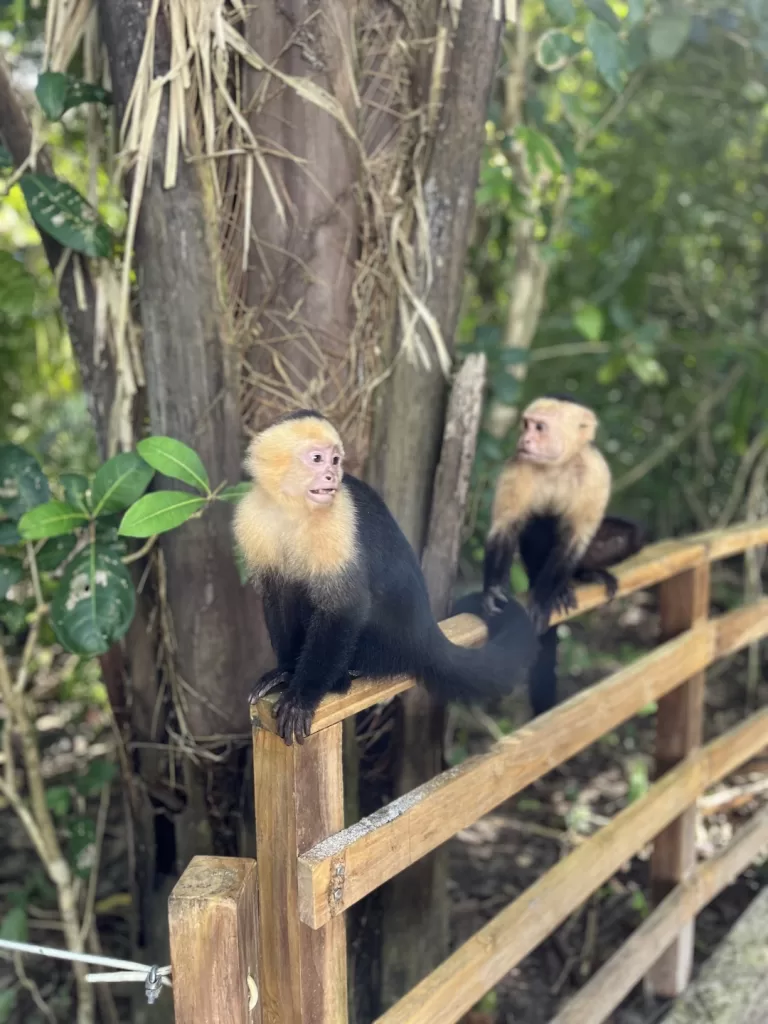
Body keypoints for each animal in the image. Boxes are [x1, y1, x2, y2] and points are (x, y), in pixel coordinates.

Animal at [234, 407, 540, 745]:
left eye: (335, 460)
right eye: (316, 459)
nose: (331, 476)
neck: (294, 509)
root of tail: (426, 633)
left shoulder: (338, 520)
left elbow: (345, 607)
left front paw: (302, 696)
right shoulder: (252, 517)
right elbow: (277, 595)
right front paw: (286, 671)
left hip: (390, 643)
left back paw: (341, 680)